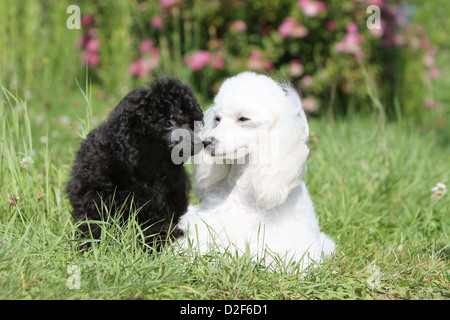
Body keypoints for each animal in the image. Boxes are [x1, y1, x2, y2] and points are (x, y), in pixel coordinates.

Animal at [66, 76, 203, 249]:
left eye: (190, 123)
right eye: (168, 123)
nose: (199, 143)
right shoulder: (92, 194)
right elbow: (92, 223)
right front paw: (88, 245)